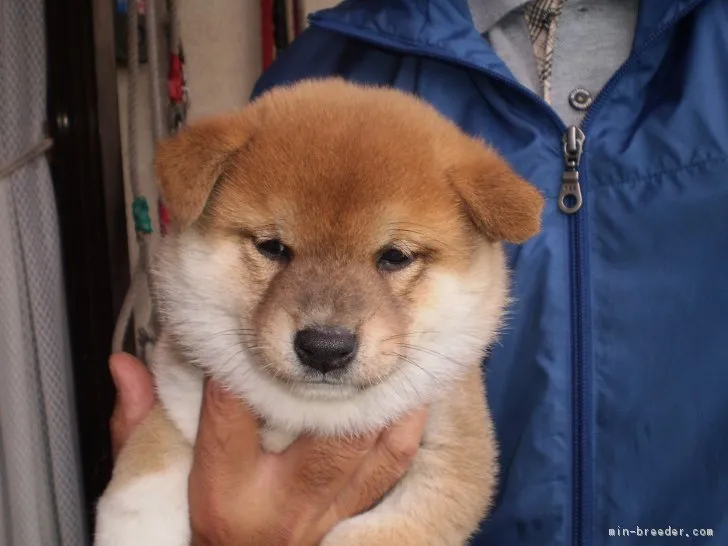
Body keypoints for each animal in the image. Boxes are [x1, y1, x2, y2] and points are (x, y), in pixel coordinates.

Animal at [95, 77, 540, 544]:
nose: (325, 348)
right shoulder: (178, 396)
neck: (309, 417)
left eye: (395, 257)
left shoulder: (454, 461)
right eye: (273, 247)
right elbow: (145, 471)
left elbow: (375, 532)